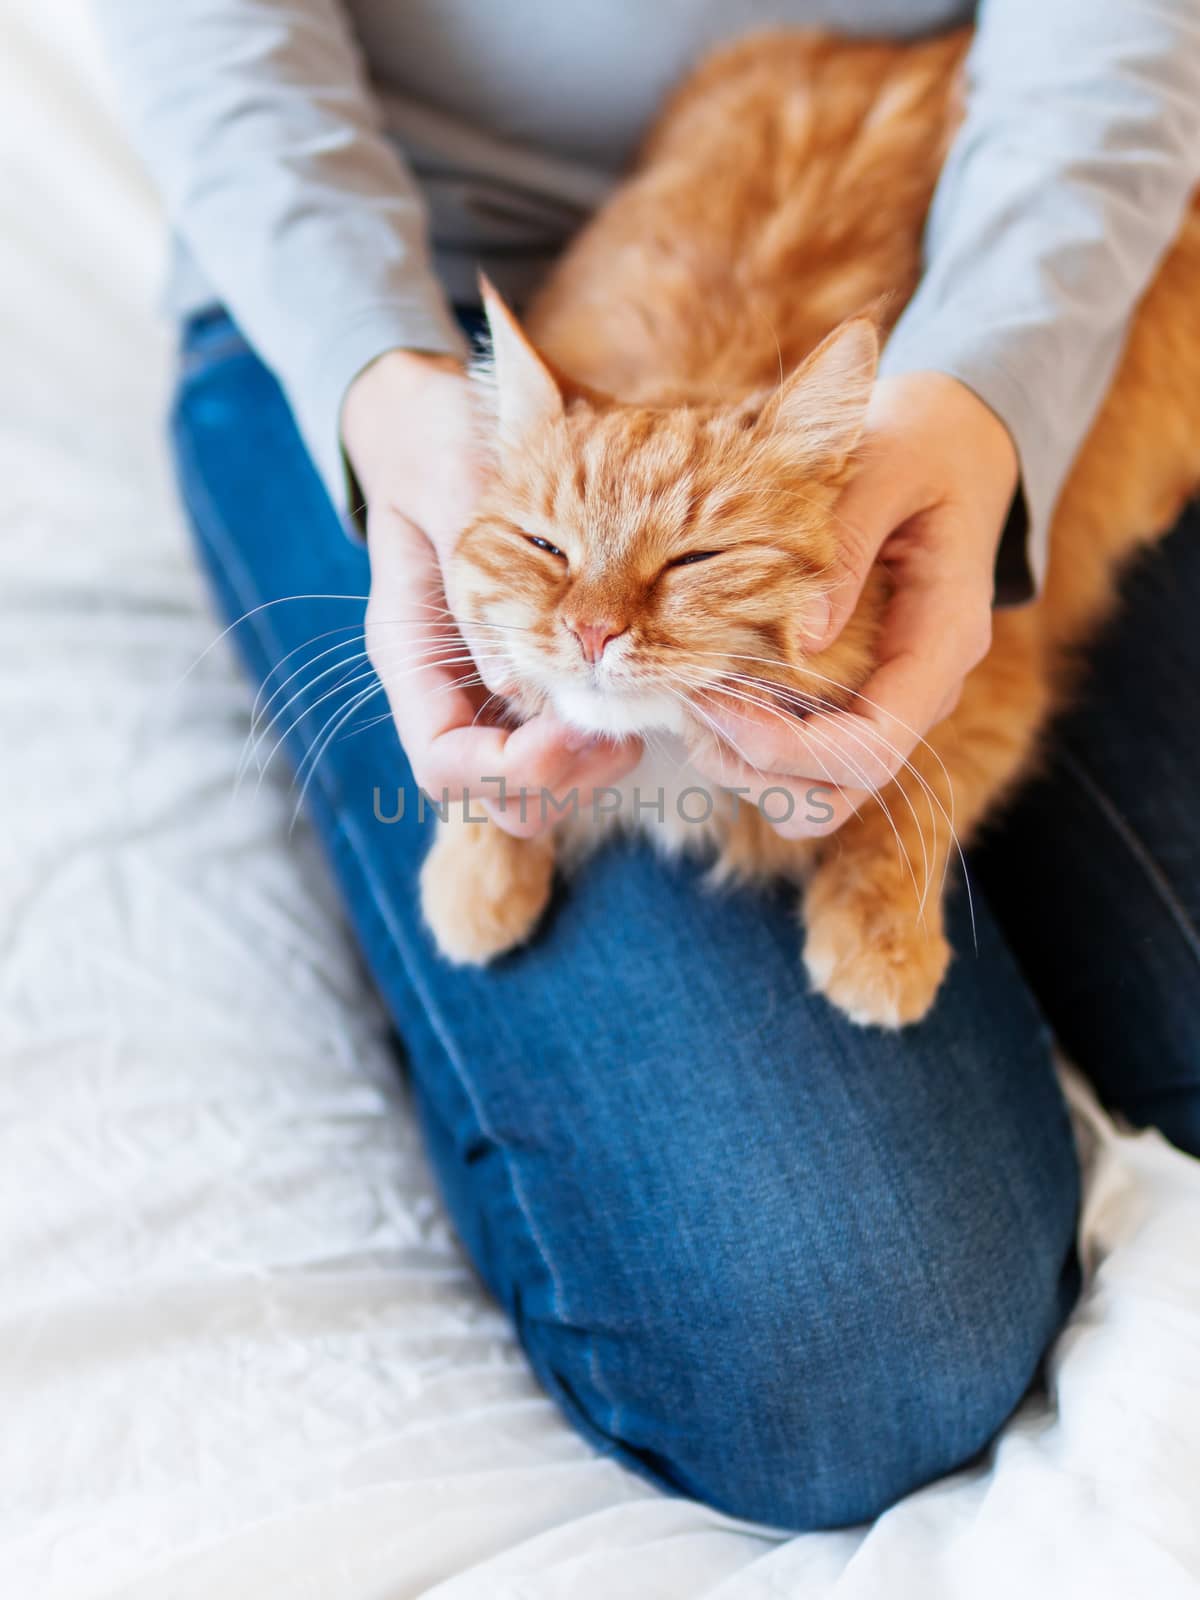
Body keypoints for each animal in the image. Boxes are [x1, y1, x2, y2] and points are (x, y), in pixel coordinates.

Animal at [419, 31, 1196, 1030]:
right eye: (545, 547)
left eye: (694, 560)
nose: (590, 631)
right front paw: (475, 877)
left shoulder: (992, 679)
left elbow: (915, 807)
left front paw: (876, 945)